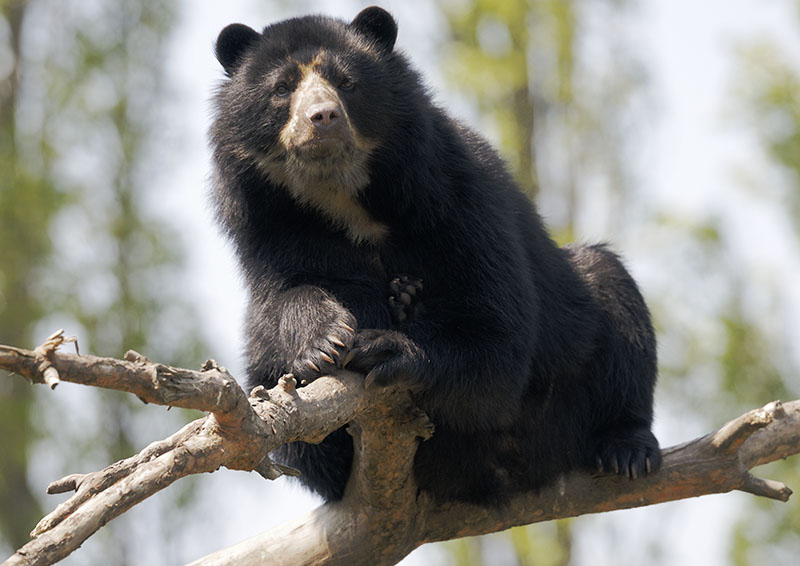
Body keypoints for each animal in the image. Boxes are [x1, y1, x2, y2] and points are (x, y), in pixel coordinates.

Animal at [210, 6, 661, 504]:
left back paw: (626, 449)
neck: (346, 197)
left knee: (610, 288)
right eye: (282, 88)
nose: (322, 117)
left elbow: (495, 339)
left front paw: (384, 346)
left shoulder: (456, 192)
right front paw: (323, 341)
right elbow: (286, 294)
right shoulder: (267, 224)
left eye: (347, 83)